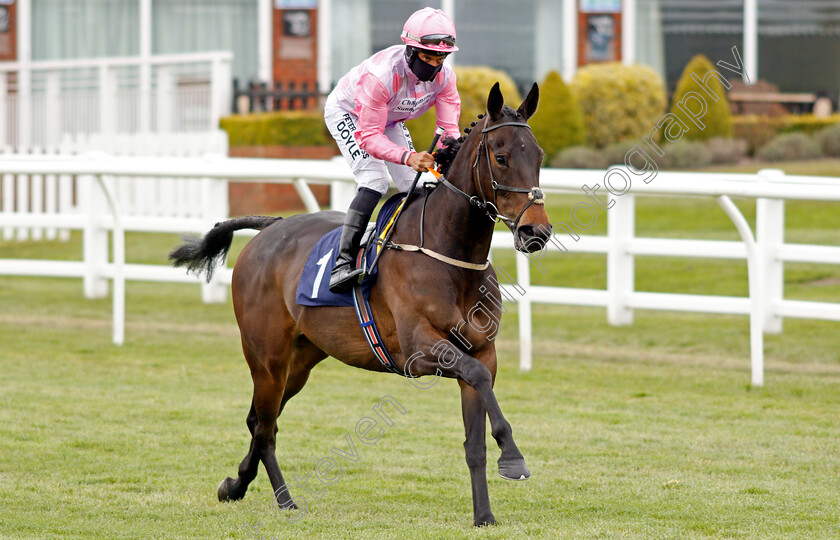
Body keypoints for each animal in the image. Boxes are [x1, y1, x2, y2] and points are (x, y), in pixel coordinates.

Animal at [170, 84, 552, 528]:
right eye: (502, 157)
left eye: (538, 155)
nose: (537, 231)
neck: (450, 254)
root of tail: (271, 227)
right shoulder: (419, 349)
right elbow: (476, 378)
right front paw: (514, 457)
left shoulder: (482, 350)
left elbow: (476, 427)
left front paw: (484, 515)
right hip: (266, 356)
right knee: (265, 428)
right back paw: (285, 500)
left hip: (302, 358)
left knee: (260, 419)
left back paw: (235, 485)